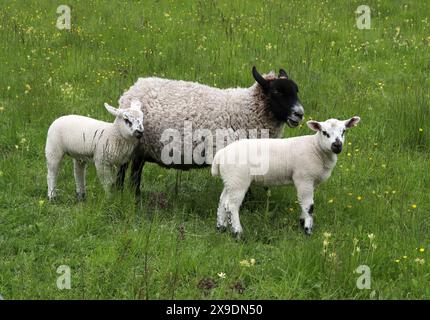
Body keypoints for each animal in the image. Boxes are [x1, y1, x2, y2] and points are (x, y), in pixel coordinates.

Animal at [116, 66, 304, 199]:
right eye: (277, 92)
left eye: (296, 90)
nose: (299, 114)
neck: (245, 111)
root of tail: (133, 88)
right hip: (128, 141)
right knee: (123, 169)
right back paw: (121, 194)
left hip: (141, 147)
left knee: (136, 170)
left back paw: (135, 196)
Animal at [210, 116, 362, 236]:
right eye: (324, 132)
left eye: (344, 131)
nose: (337, 145)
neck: (316, 148)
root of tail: (220, 155)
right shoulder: (304, 178)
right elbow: (309, 206)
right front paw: (308, 230)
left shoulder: (311, 182)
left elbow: (304, 204)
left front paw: (302, 222)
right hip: (239, 180)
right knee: (231, 205)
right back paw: (238, 233)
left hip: (230, 180)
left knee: (222, 202)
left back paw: (221, 228)